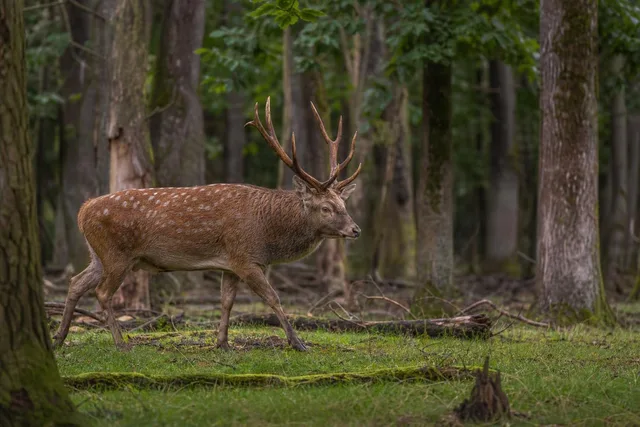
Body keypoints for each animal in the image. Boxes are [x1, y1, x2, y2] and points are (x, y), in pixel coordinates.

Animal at [52, 97, 362, 352]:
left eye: (344, 205)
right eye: (326, 207)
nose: (355, 230)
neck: (268, 233)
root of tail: (83, 210)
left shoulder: (231, 263)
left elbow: (226, 302)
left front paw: (222, 343)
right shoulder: (246, 257)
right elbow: (273, 298)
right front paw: (298, 343)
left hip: (99, 255)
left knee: (76, 283)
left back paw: (59, 337)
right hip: (117, 254)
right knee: (102, 292)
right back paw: (121, 343)